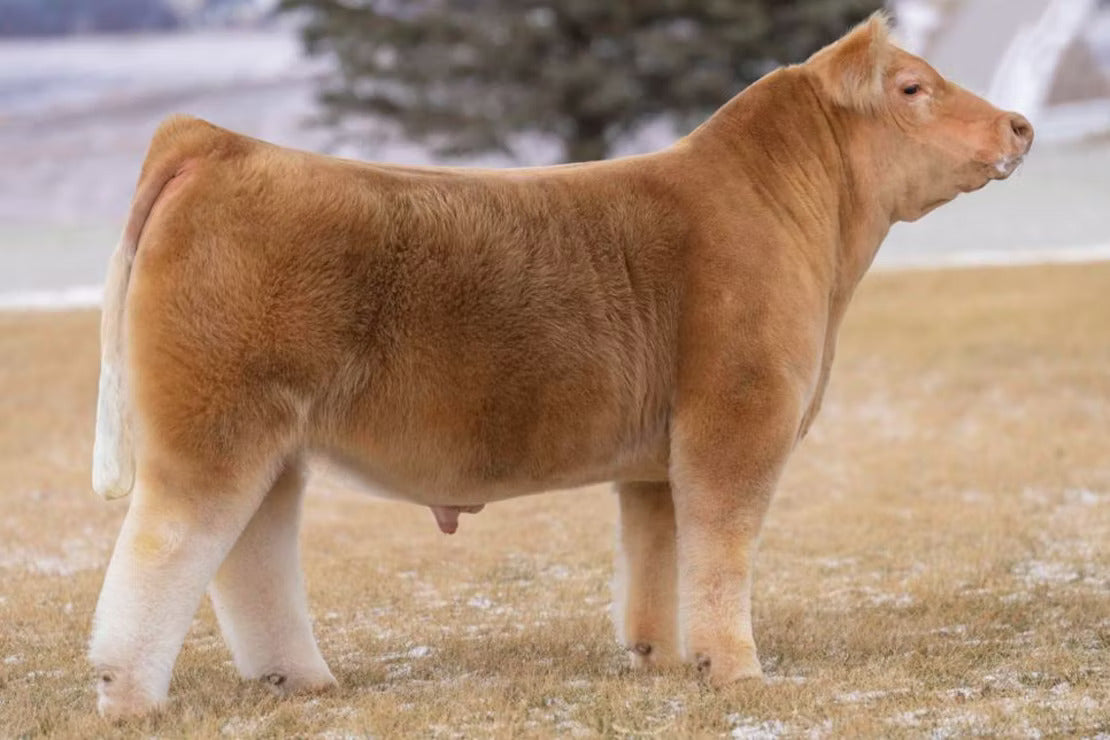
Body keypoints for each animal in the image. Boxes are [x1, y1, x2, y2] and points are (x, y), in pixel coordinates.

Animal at [87, 13, 1032, 719]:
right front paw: (737, 671)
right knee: (168, 549)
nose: (1019, 126)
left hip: (273, 441)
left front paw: (660, 658)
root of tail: (218, 143)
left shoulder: (658, 455)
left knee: (253, 552)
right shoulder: (740, 416)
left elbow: (657, 549)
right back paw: (129, 697)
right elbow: (721, 547)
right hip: (214, 427)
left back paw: (302, 680)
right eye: (912, 88)